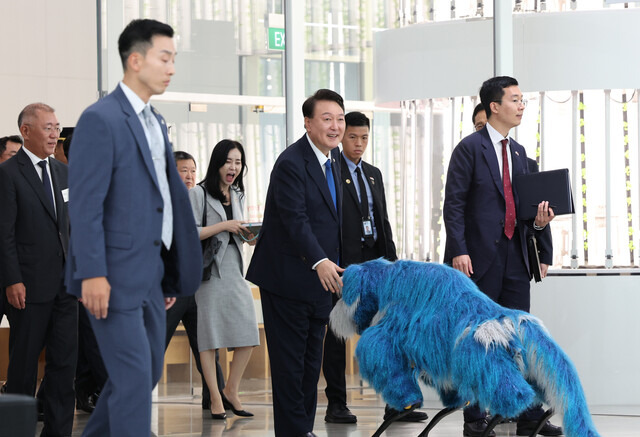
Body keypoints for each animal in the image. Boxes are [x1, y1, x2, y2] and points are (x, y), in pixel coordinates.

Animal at [330, 258, 600, 436]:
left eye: (344, 295)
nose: (333, 316)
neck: (387, 280)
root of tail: (515, 321)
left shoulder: (391, 329)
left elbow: (381, 353)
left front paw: (407, 402)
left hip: (487, 362)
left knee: (516, 393)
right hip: (530, 367)